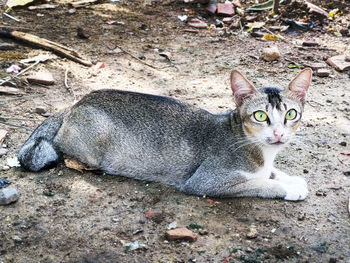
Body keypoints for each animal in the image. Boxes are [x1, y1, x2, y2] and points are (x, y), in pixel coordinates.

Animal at [17, 69, 312, 201]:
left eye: (291, 114)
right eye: (260, 116)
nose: (278, 133)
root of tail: (75, 104)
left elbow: (269, 173)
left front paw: (290, 179)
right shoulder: (204, 182)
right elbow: (260, 183)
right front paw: (288, 188)